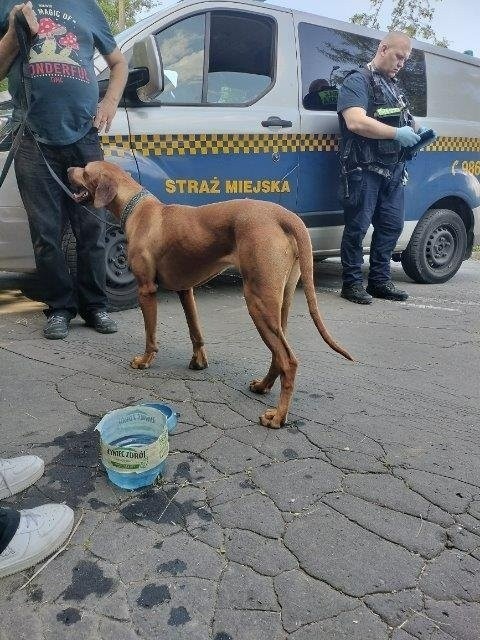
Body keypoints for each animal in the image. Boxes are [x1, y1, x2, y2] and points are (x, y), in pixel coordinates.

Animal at [68, 162, 352, 428]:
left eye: (85, 170)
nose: (68, 168)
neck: (137, 208)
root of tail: (286, 215)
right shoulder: (186, 289)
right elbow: (195, 331)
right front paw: (199, 361)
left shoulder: (146, 290)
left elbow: (150, 335)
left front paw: (145, 360)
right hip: (279, 303)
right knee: (278, 355)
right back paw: (263, 386)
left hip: (257, 302)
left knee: (288, 360)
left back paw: (278, 416)